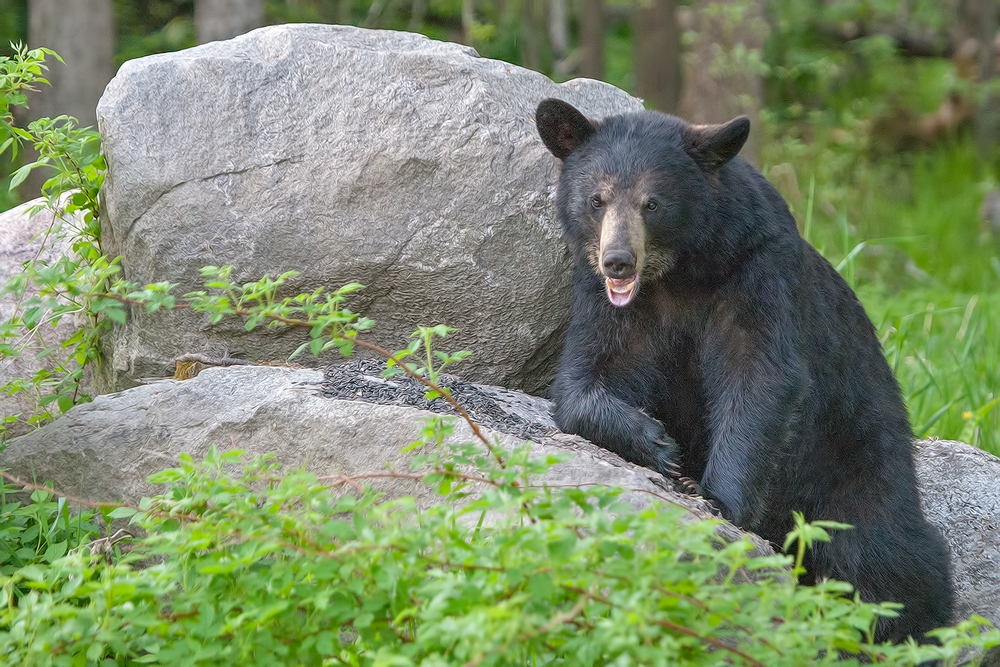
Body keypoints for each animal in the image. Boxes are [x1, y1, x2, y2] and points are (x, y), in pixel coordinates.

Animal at [540, 98, 952, 640]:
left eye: (653, 203)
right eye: (596, 200)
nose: (618, 261)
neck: (680, 273)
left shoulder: (756, 272)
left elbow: (760, 377)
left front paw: (714, 497)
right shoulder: (608, 304)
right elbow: (586, 376)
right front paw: (657, 443)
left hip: (859, 460)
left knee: (877, 555)